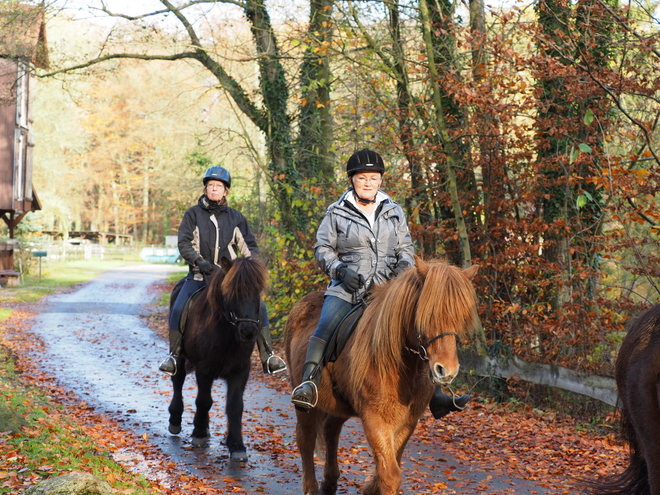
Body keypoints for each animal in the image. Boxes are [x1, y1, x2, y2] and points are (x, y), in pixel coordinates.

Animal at [168, 258, 268, 464]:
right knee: (178, 381)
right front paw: (198, 434)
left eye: (258, 291)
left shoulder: (240, 370)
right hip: (179, 357)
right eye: (232, 292)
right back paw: (176, 420)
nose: (248, 331)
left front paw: (237, 446)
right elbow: (204, 400)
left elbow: (235, 406)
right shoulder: (204, 369)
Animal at [284, 256, 480, 495]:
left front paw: (369, 488)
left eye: (461, 316)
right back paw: (312, 487)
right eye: (428, 314)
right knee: (306, 438)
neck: (399, 365)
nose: (447, 371)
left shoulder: (407, 423)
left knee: (331, 430)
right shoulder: (375, 421)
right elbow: (390, 475)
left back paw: (330, 482)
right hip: (305, 403)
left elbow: (387, 468)